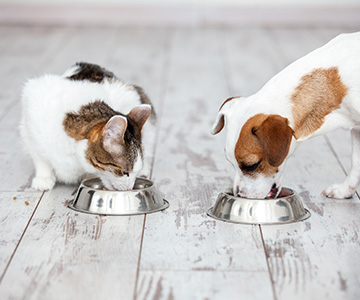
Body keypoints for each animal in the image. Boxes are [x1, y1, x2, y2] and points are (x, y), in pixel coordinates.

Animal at [19, 62, 155, 191]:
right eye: (125, 172)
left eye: (134, 172)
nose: (130, 188)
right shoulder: (30, 117)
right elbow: (39, 157)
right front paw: (43, 177)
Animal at [211, 32, 360, 199]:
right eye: (230, 162)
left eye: (252, 165)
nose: (239, 195)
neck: (335, 82)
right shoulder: (357, 130)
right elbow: (356, 161)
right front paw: (345, 189)